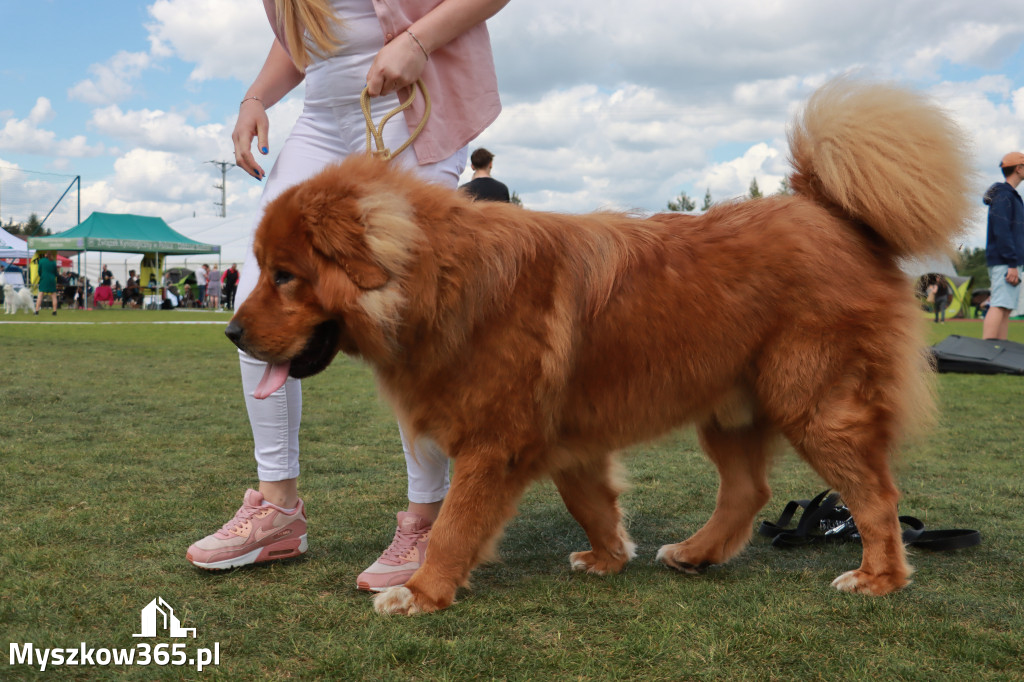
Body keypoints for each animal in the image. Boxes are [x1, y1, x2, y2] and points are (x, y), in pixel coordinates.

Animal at [228, 79, 970, 610]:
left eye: (285, 275)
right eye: (259, 269)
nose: (233, 331)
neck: (440, 279)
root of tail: (831, 214)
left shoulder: (492, 443)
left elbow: (454, 525)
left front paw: (420, 592)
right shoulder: (565, 440)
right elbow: (591, 505)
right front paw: (610, 557)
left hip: (815, 405)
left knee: (875, 496)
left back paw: (877, 577)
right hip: (730, 409)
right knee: (748, 490)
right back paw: (696, 553)